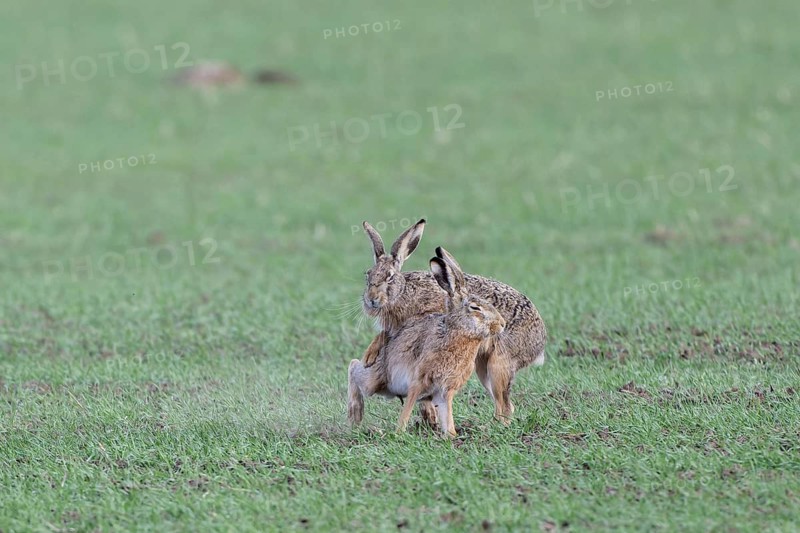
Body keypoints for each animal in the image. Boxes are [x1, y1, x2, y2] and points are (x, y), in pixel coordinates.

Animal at [348, 250, 506, 437]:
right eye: (475, 308)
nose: (502, 324)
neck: (459, 335)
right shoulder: (418, 381)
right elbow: (407, 410)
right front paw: (399, 433)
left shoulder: (445, 391)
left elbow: (447, 415)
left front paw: (451, 435)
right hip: (375, 380)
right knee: (353, 367)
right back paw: (354, 414)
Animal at [358, 219, 546, 423]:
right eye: (367, 275)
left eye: (390, 277)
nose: (371, 299)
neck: (402, 292)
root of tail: (540, 342)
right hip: (483, 367)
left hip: (499, 364)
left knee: (504, 404)